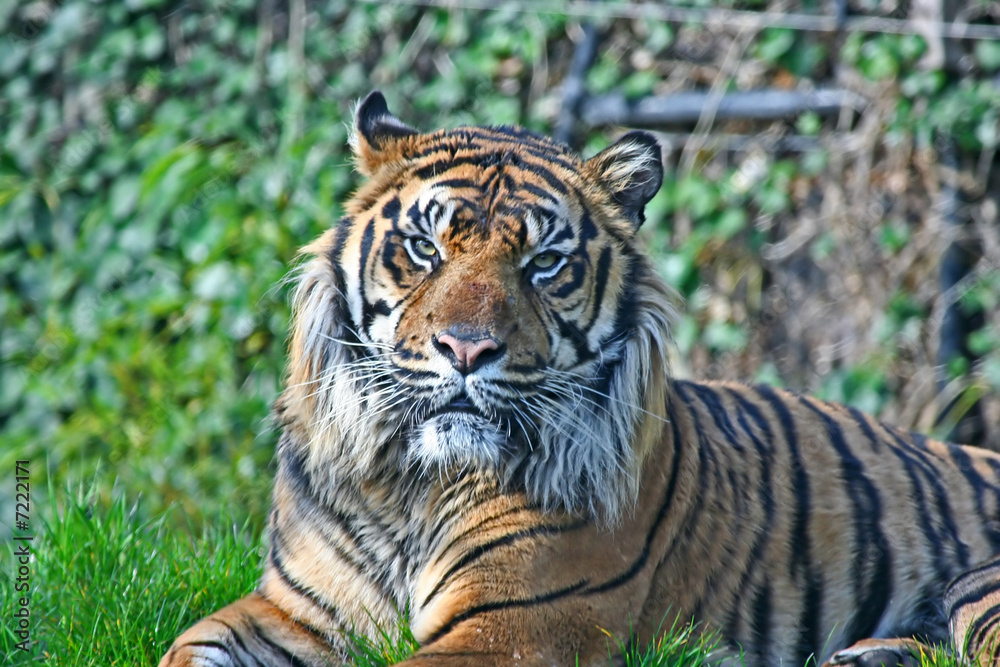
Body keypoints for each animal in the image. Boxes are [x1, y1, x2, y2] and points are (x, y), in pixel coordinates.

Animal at [159, 91, 1000, 667]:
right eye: (426, 247)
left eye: (543, 263)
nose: (466, 349)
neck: (412, 484)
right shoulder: (298, 610)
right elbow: (186, 647)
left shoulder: (512, 626)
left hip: (976, 594)